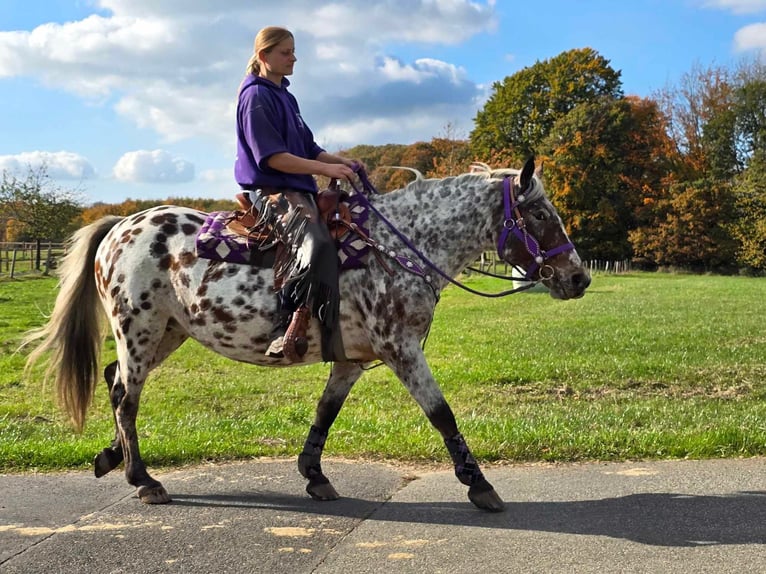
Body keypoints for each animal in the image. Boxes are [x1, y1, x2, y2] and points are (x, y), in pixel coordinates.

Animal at [22, 158, 588, 512]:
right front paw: (480, 485)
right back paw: (143, 479)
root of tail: (120, 225)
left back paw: (113, 457)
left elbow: (325, 412)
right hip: (138, 330)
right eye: (540, 213)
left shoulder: (353, 360)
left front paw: (314, 474)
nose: (579, 278)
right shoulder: (402, 352)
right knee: (126, 396)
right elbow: (442, 414)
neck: (396, 247)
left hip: (166, 333)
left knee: (115, 380)